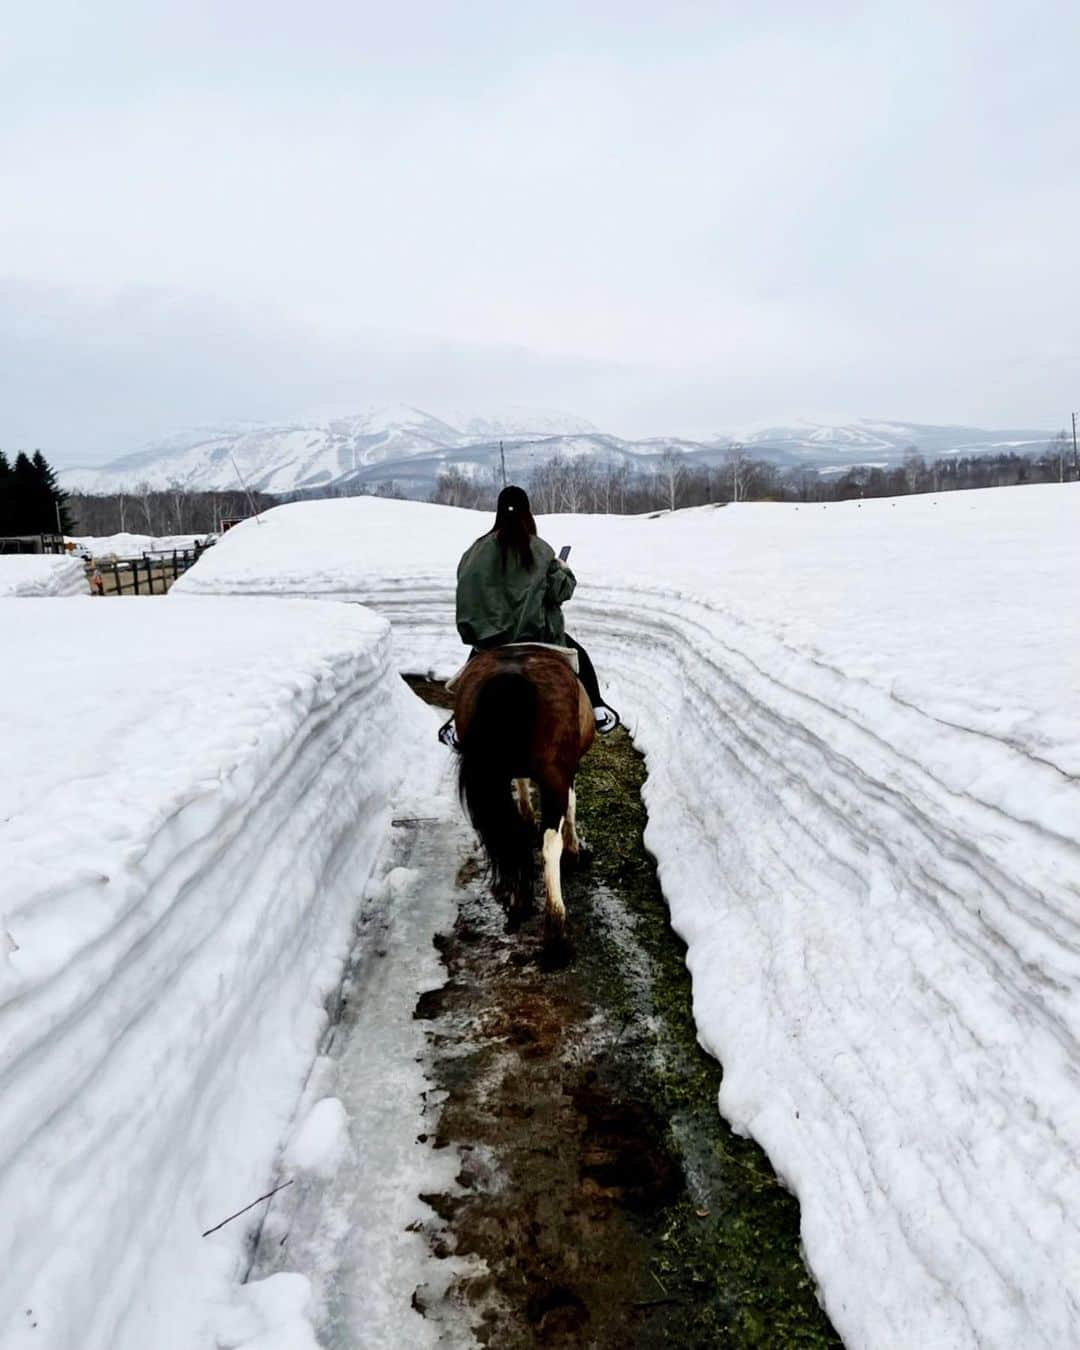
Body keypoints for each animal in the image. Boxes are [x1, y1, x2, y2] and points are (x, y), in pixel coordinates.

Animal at [450, 642, 594, 939]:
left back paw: (519, 901)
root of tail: (511, 674)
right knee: (549, 843)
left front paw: (527, 814)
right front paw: (574, 850)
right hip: (554, 775)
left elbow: (522, 785)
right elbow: (571, 805)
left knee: (508, 835)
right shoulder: (568, 770)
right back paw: (555, 923)